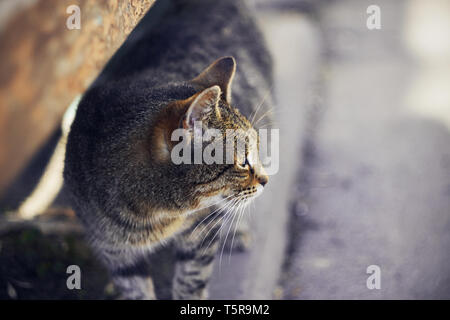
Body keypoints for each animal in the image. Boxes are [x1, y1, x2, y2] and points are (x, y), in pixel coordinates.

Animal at [64, 0, 272, 300]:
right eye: (242, 162)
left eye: (252, 152)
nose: (266, 180)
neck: (152, 215)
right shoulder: (114, 251)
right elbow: (136, 290)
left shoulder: (202, 228)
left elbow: (191, 278)